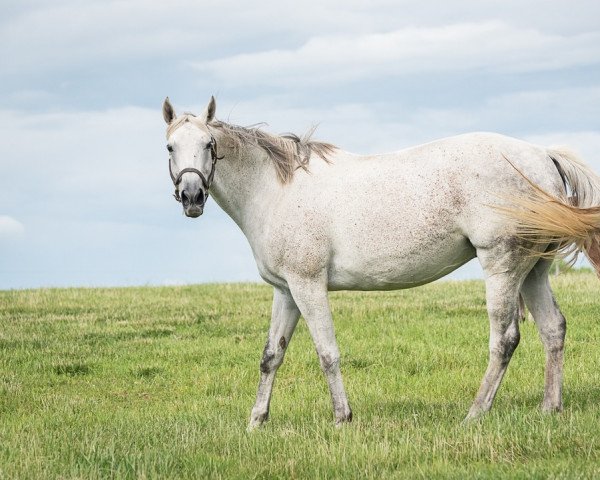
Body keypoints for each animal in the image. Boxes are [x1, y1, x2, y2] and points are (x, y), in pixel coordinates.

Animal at [162, 95, 600, 430]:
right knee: (553, 329)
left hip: (502, 265)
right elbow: (272, 356)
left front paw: (342, 418)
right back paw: (549, 408)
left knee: (505, 338)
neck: (274, 189)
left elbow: (327, 352)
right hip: (534, 270)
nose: (192, 196)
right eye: (170, 147)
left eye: (208, 143)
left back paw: (475, 413)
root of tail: (542, 155)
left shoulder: (308, 286)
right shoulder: (286, 291)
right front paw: (256, 421)